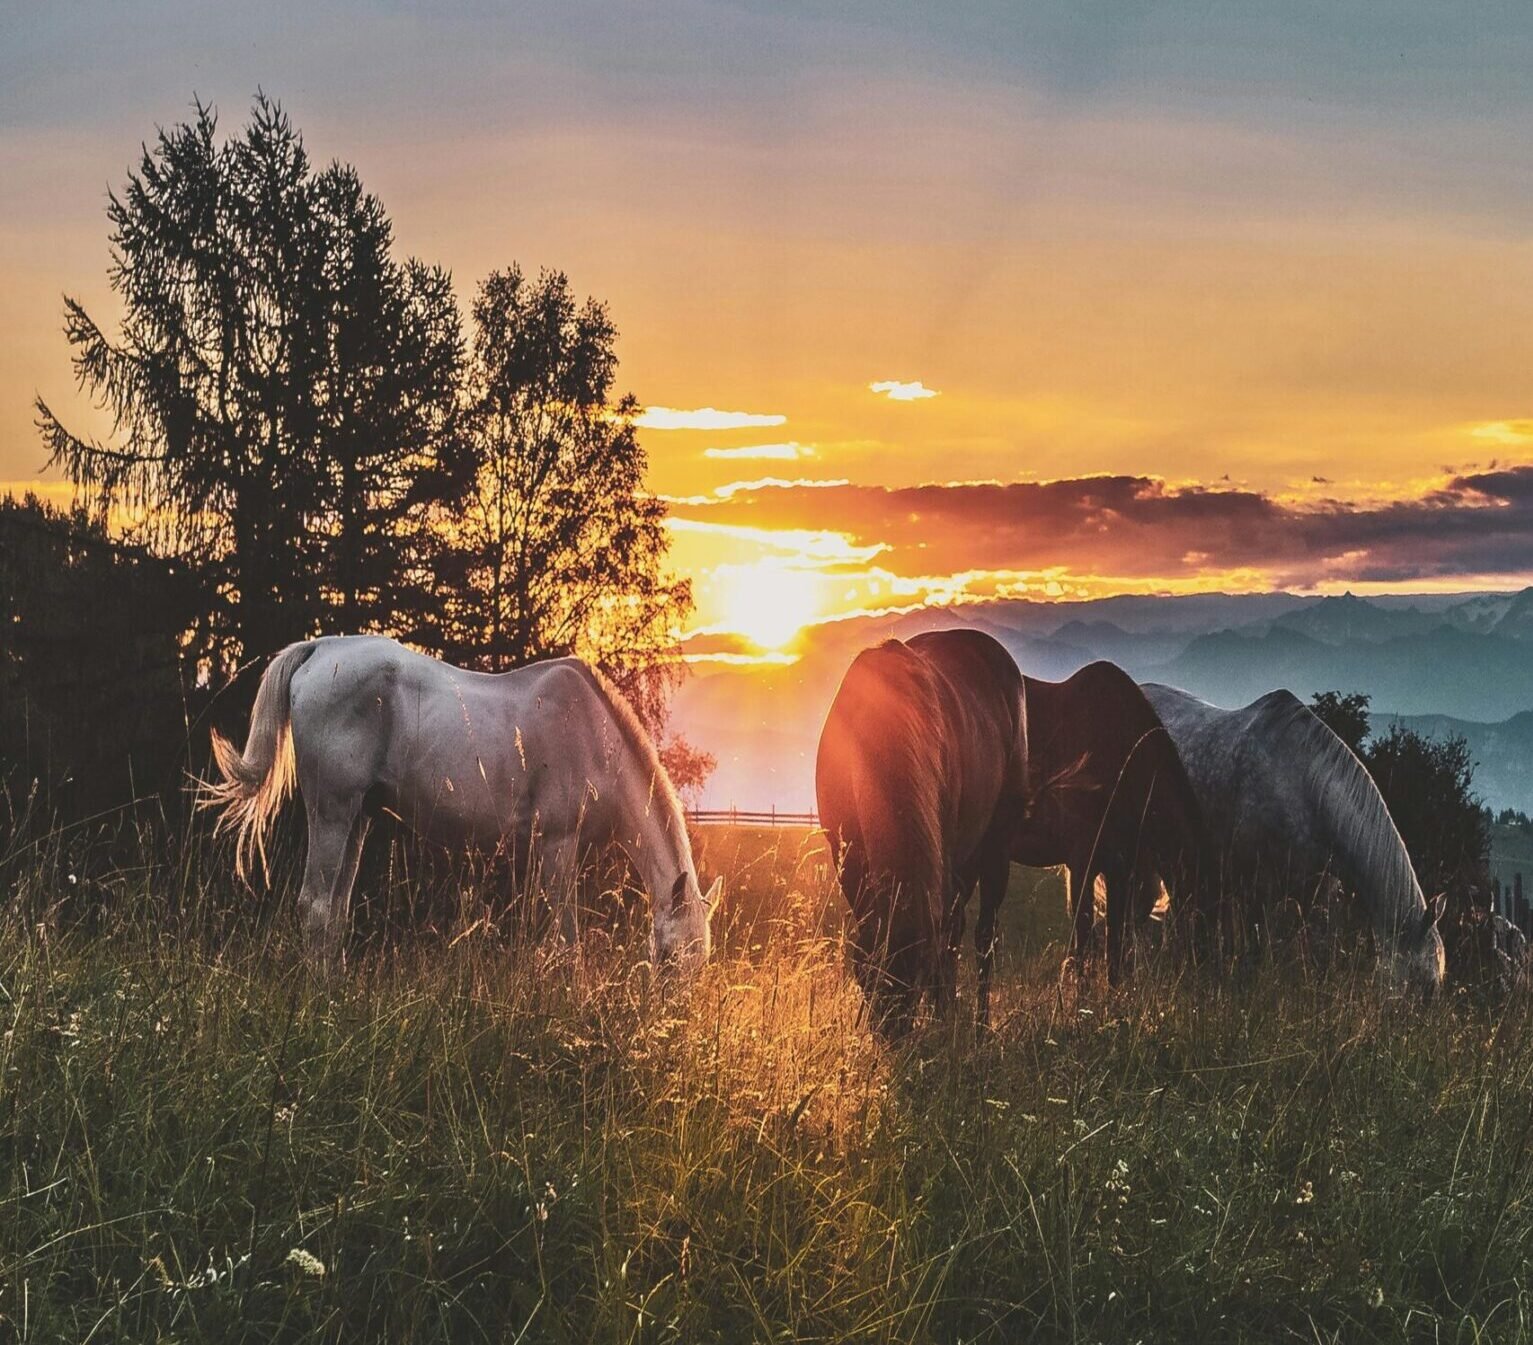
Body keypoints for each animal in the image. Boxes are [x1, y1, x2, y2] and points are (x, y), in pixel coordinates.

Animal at [202, 636, 718, 969]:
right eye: (670, 958)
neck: (594, 737)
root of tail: (319, 650)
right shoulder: (557, 844)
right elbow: (566, 941)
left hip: (358, 818)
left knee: (335, 912)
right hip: (331, 810)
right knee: (315, 906)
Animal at [816, 629, 1027, 1035]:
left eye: (915, 981)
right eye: (867, 979)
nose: (893, 1038)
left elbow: (947, 942)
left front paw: (944, 1015)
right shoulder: (847, 858)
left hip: (995, 848)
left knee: (981, 937)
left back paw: (977, 1024)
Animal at [1141, 684, 1445, 992]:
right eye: (1424, 983)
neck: (1303, 788)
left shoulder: (1315, 894)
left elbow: (1317, 953)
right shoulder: (1257, 891)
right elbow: (1255, 951)